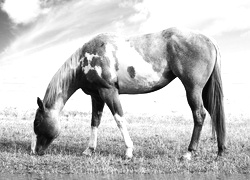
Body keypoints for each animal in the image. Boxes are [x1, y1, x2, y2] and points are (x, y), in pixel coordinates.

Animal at [30, 26, 226, 159]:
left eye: (37, 122)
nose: (34, 151)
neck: (86, 59)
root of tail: (208, 39)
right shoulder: (96, 96)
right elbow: (95, 122)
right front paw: (89, 150)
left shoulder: (109, 92)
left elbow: (119, 119)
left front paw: (129, 151)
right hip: (204, 90)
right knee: (214, 113)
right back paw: (221, 150)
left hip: (193, 89)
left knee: (199, 115)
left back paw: (189, 153)